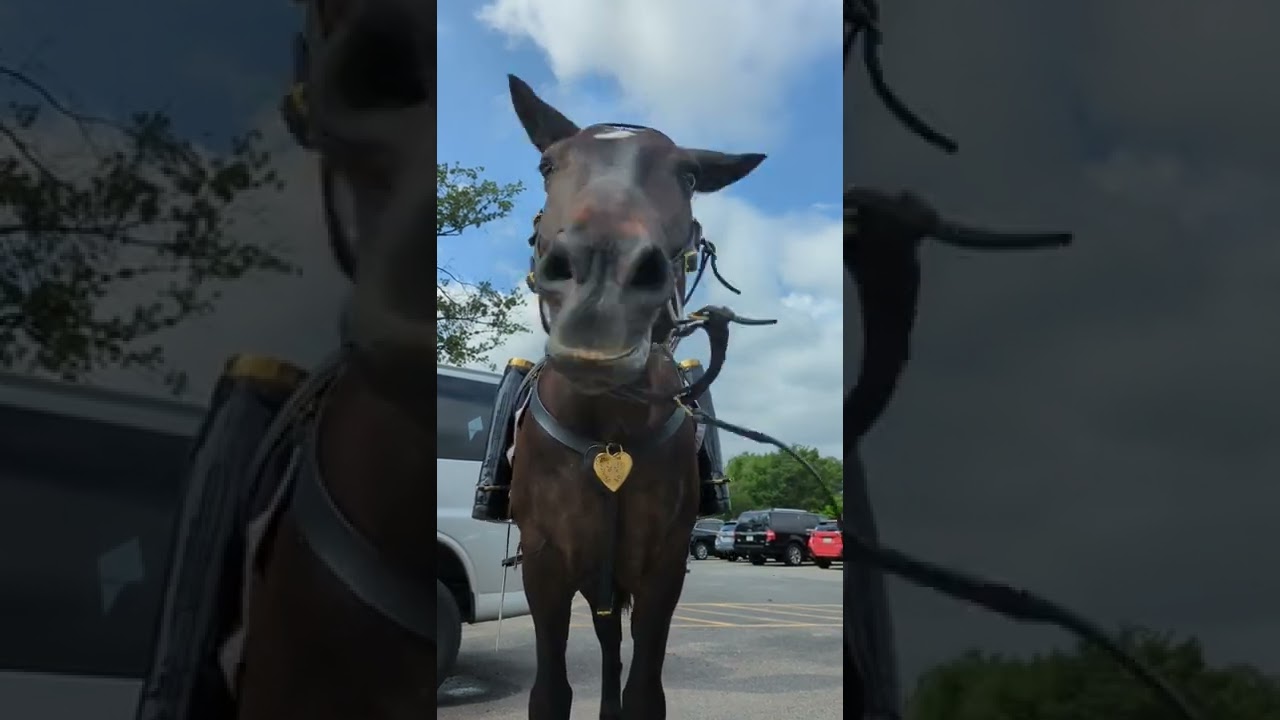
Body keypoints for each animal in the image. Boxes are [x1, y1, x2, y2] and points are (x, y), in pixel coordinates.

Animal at [503, 75, 765, 720]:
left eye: (689, 177)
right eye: (548, 164)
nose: (602, 284)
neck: (607, 434)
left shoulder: (661, 569)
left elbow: (642, 689)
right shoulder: (544, 565)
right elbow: (551, 692)